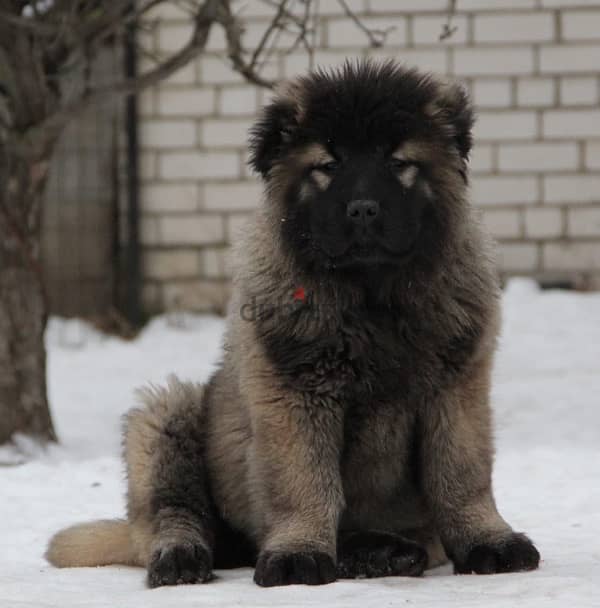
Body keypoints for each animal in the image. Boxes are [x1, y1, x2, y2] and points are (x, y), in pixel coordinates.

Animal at [49, 60, 540, 584]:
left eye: (398, 163)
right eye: (329, 165)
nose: (363, 209)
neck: (370, 297)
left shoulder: (456, 387)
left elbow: (462, 474)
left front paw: (489, 541)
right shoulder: (296, 392)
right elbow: (303, 480)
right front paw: (298, 552)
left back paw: (381, 551)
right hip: (166, 418)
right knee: (173, 511)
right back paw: (182, 556)